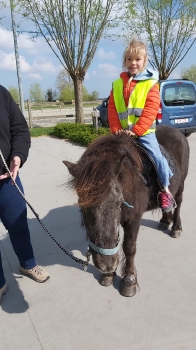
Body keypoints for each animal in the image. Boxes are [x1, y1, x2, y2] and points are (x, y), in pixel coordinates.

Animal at [64, 124, 190, 296]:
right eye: (82, 205)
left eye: (118, 202)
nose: (106, 264)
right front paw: (109, 275)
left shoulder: (133, 219)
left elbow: (129, 248)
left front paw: (129, 281)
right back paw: (165, 221)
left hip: (181, 185)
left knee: (179, 202)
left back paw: (176, 227)